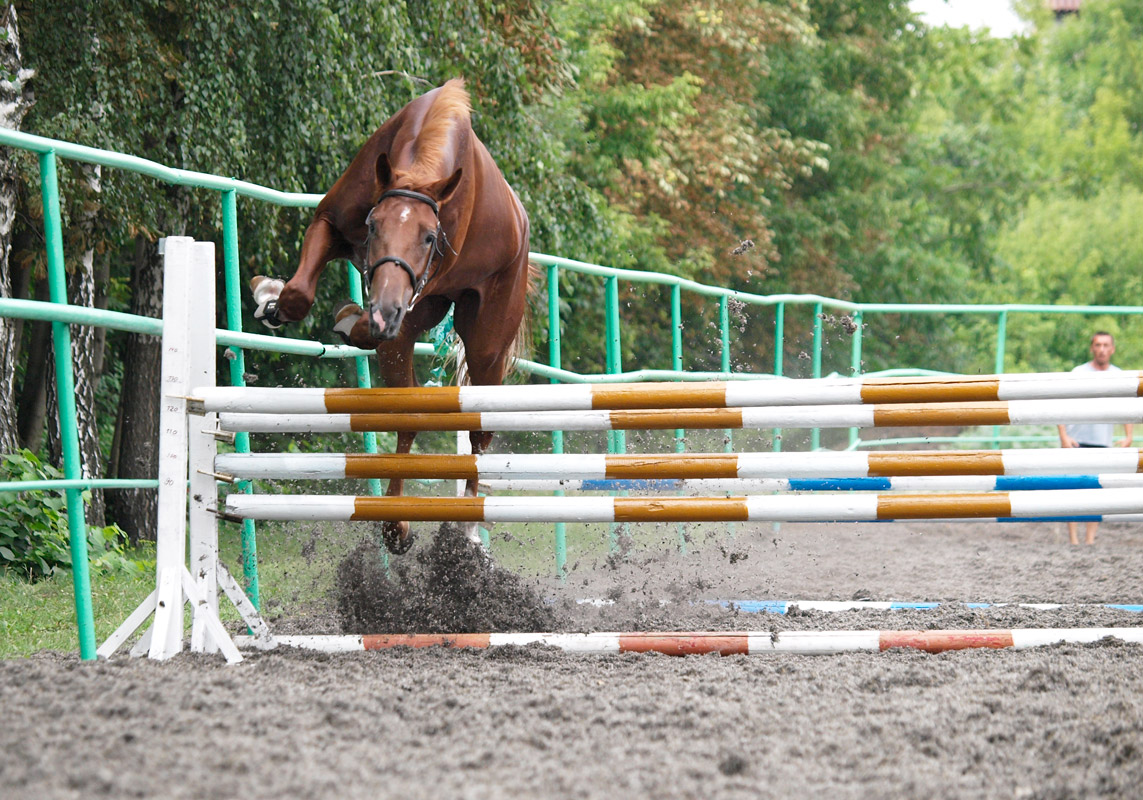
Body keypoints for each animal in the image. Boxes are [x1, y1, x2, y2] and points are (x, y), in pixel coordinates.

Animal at [252, 82, 528, 555]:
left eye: (430, 237)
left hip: (486, 349)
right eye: (373, 224)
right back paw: (395, 524)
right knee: (406, 412)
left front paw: (349, 318)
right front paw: (269, 296)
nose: (385, 309)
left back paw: (465, 531)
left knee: (477, 430)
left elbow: (366, 324)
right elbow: (299, 294)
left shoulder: (417, 294)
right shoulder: (330, 222)